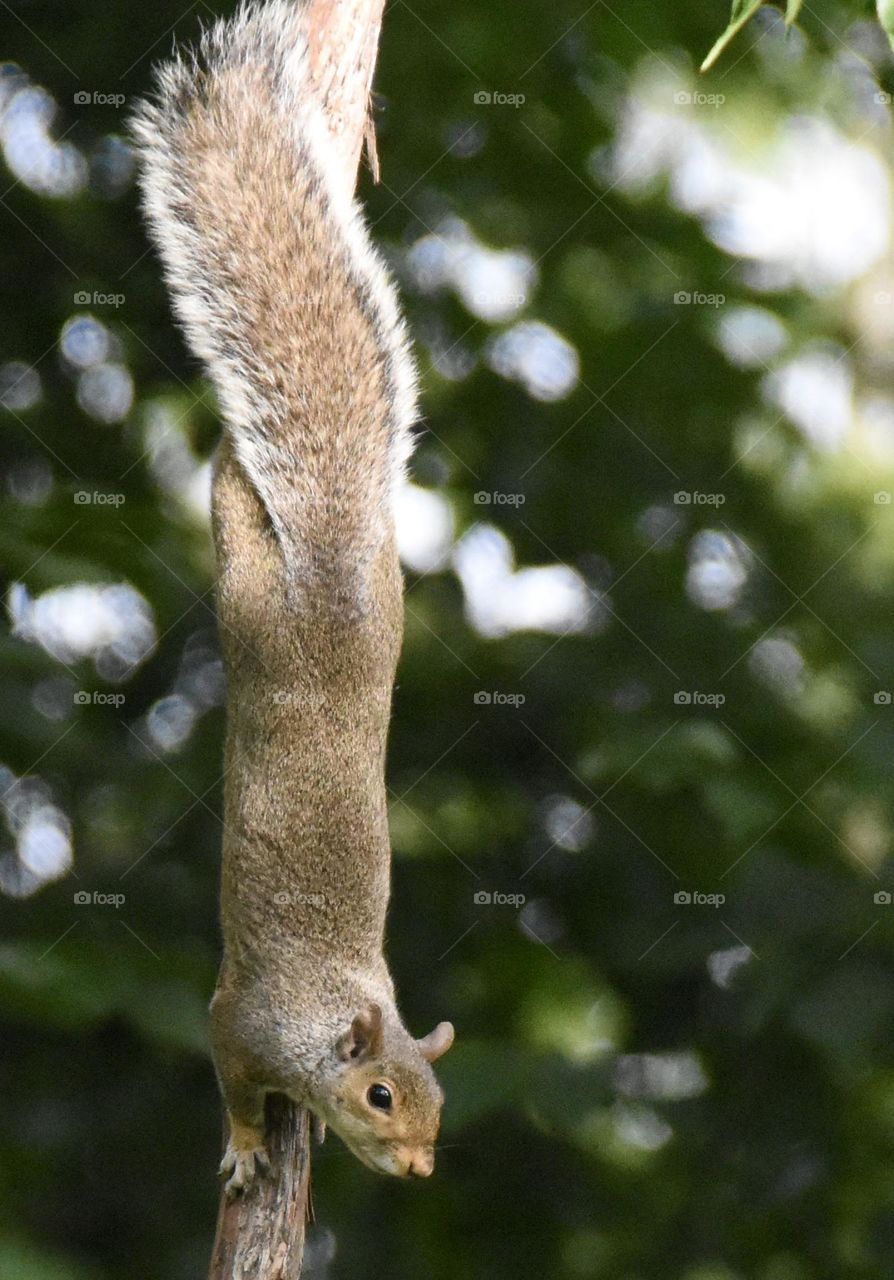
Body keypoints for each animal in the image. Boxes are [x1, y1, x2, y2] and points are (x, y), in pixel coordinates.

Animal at [130, 0, 453, 1192]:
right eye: (378, 1095)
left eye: (437, 1102)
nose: (419, 1169)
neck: (332, 1007)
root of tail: (333, 583)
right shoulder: (241, 1022)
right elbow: (228, 1076)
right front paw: (240, 1145)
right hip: (251, 601)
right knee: (233, 523)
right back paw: (232, 472)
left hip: (391, 601)